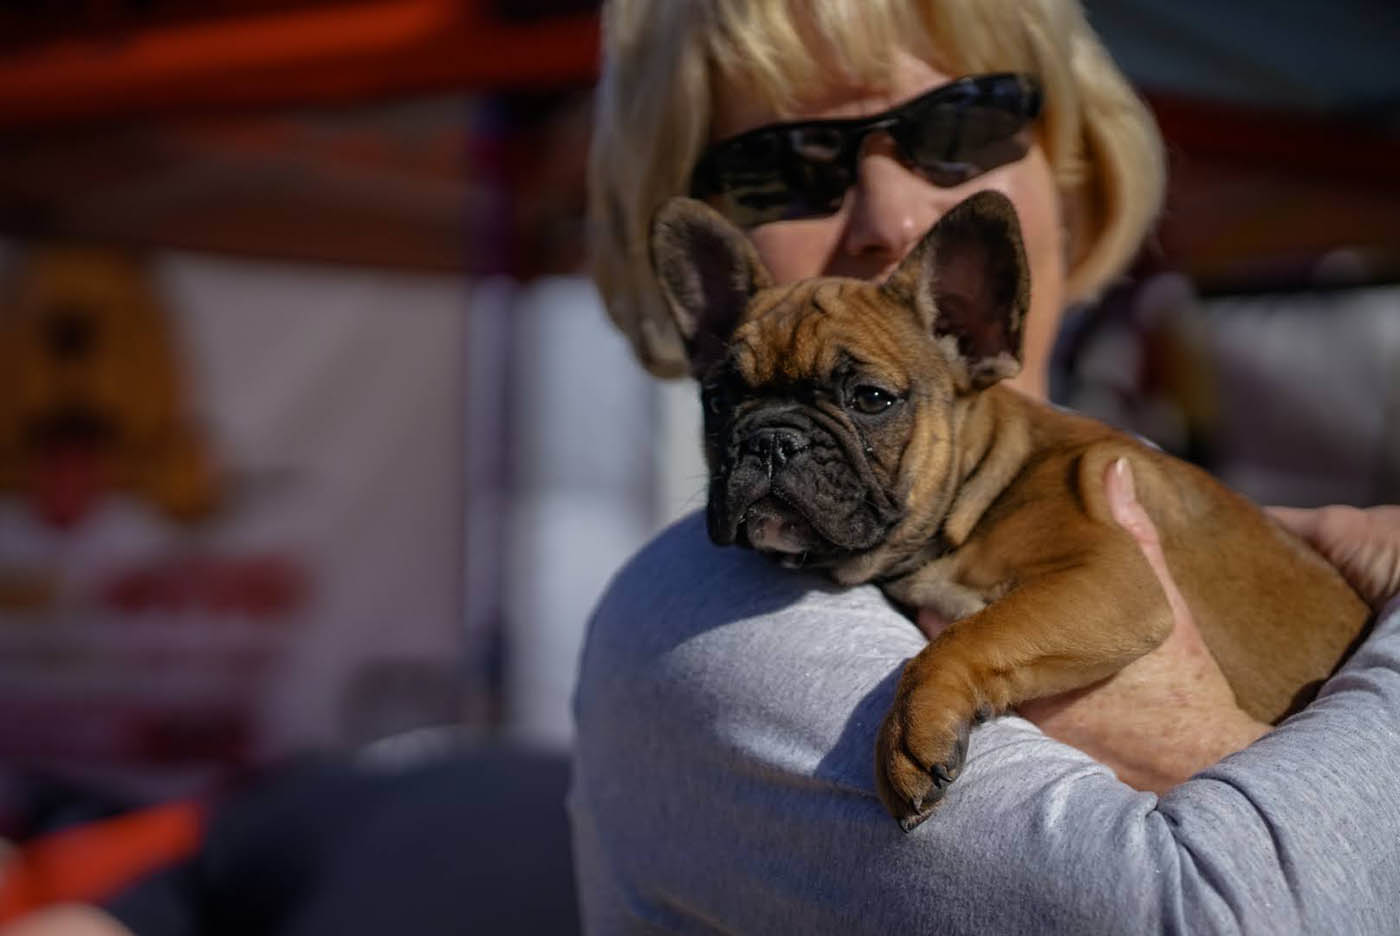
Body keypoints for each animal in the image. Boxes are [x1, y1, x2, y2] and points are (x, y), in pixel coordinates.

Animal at [652, 187, 1366, 822]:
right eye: (717, 400)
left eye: (871, 399)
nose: (771, 438)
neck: (981, 489)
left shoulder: (1110, 576)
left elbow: (968, 633)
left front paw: (913, 730)